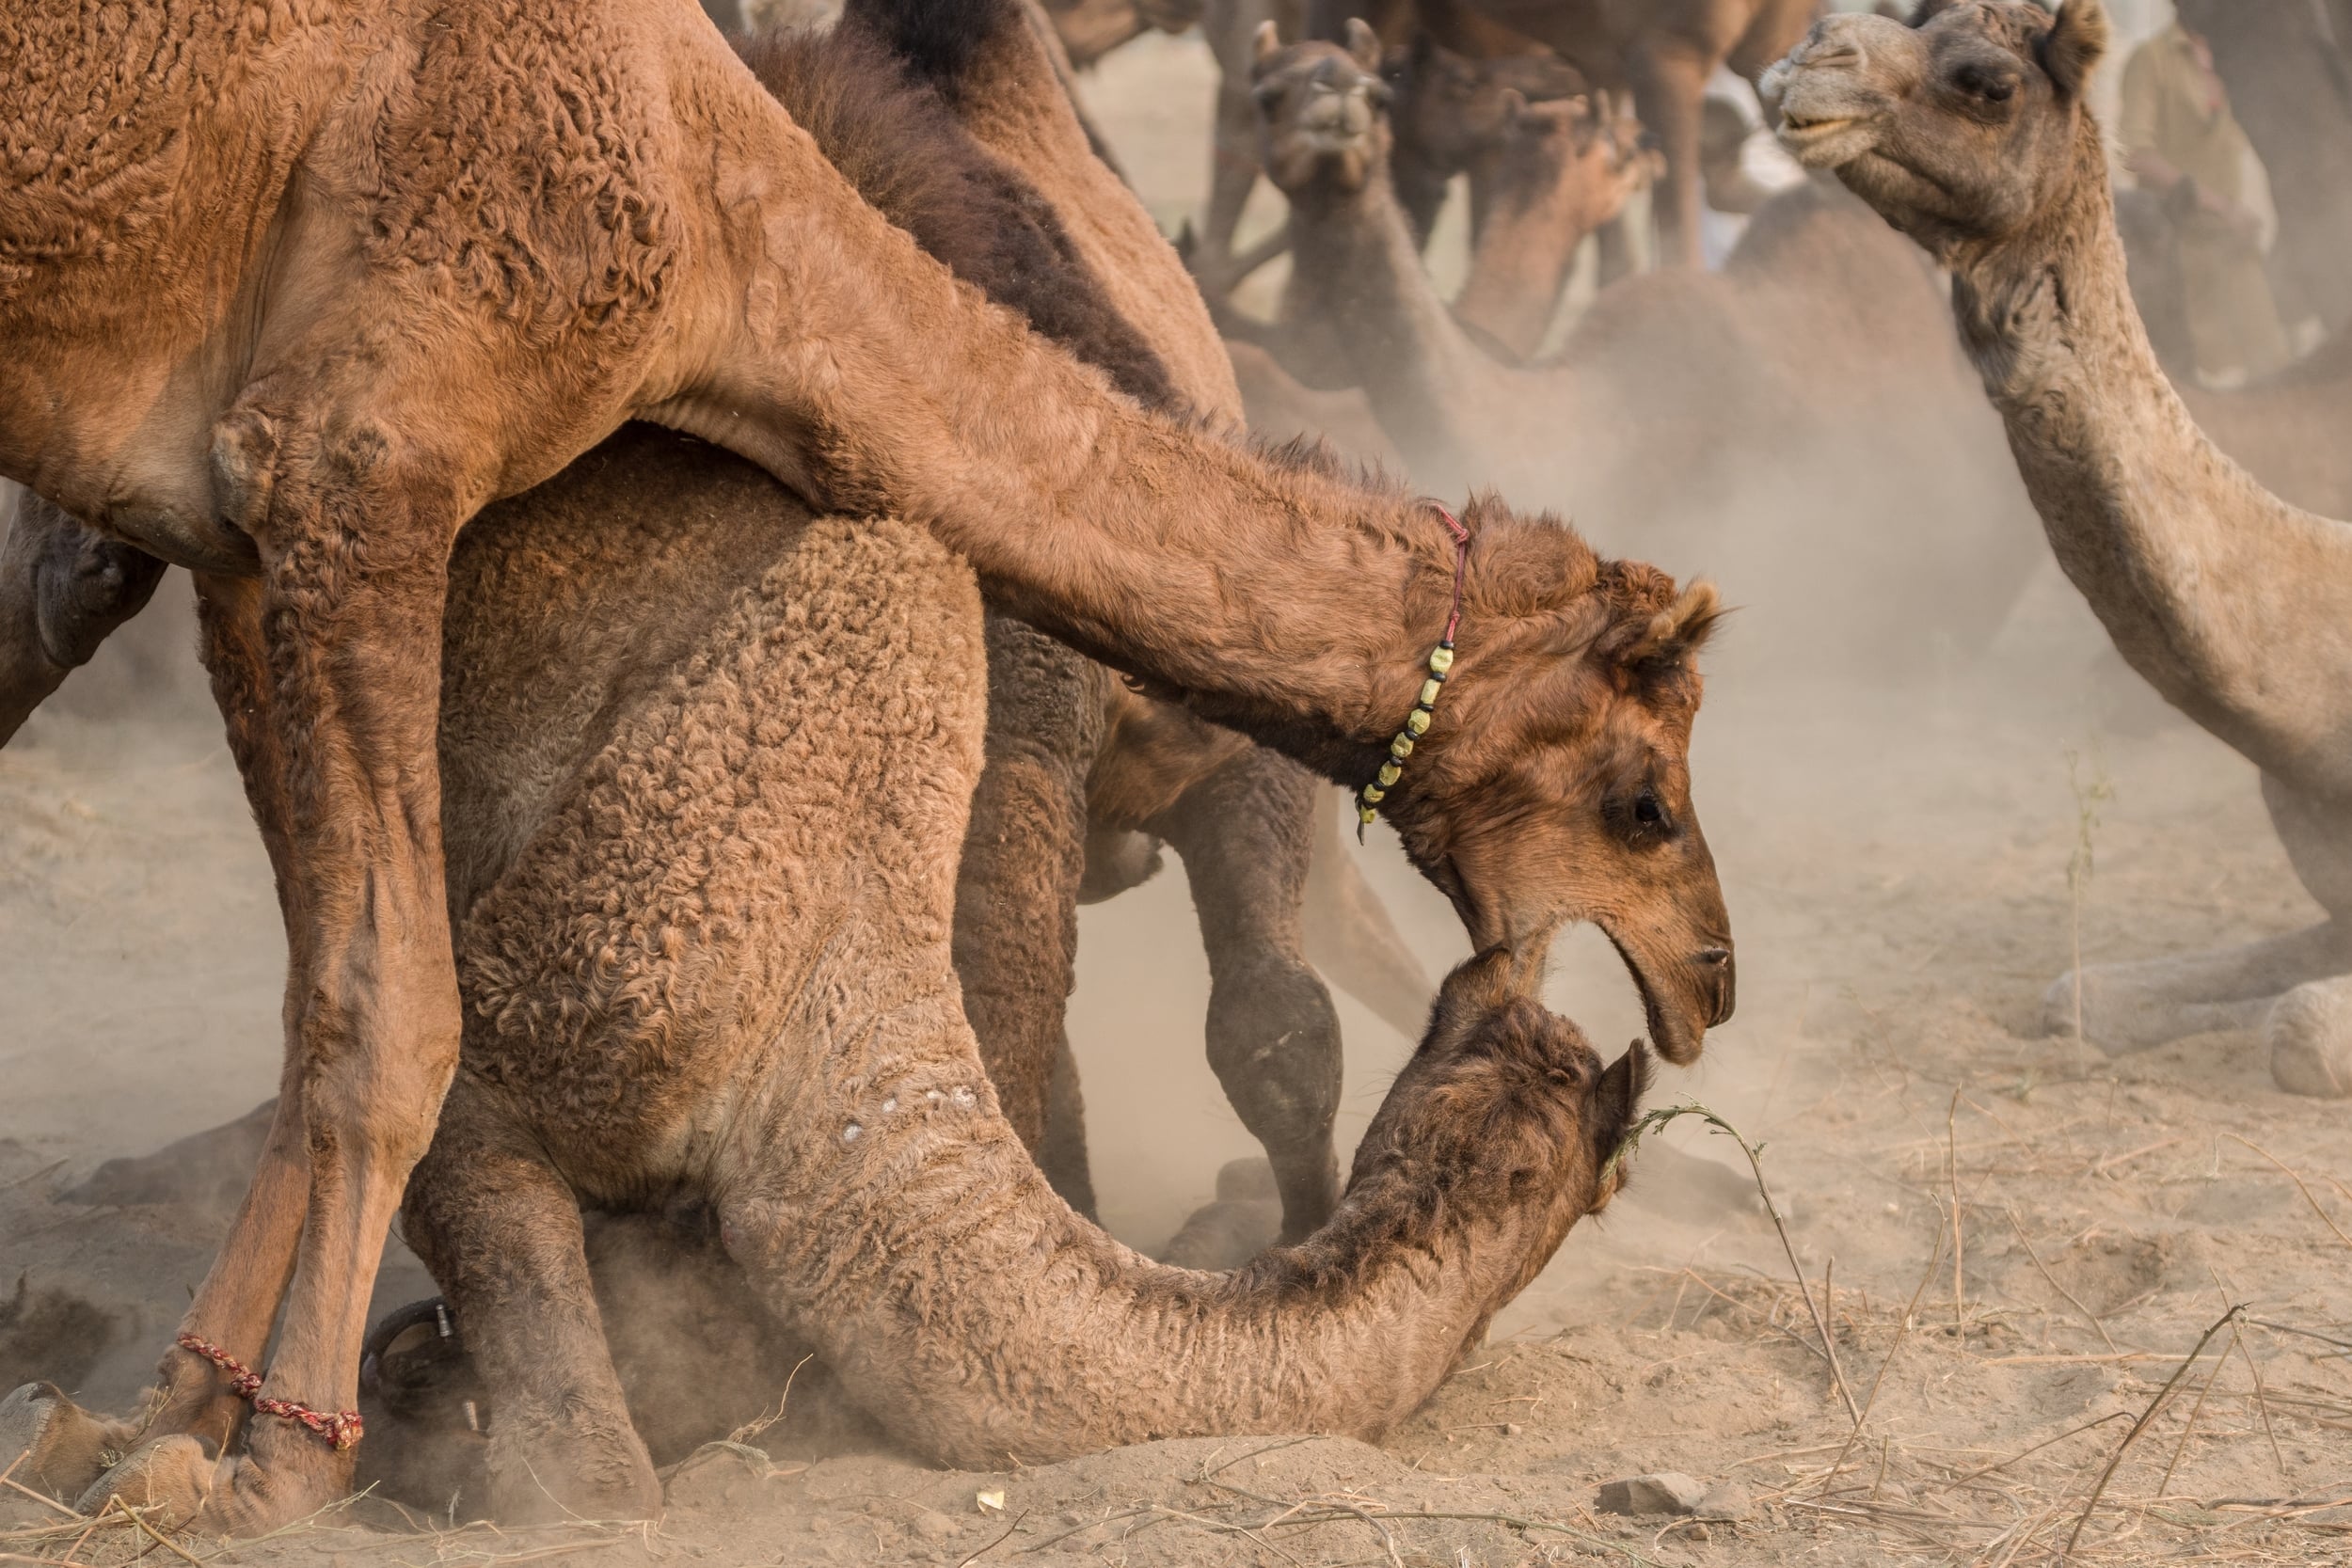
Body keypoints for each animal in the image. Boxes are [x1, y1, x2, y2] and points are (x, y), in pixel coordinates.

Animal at [0, 0, 1731, 1532]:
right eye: (1645, 799)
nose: (1706, 978)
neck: (725, 236)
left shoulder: (258, 527)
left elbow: (327, 994)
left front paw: (164, 1422)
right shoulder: (356, 457)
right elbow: (398, 1026)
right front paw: (272, 1462)